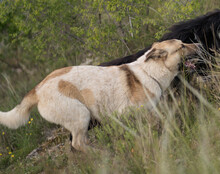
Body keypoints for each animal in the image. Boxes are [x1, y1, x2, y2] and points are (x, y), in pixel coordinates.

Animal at [0, 39, 199, 151]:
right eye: (182, 46)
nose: (198, 44)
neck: (150, 71)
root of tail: (37, 89)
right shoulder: (124, 114)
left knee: (79, 144)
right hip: (82, 115)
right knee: (77, 144)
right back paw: (102, 153)